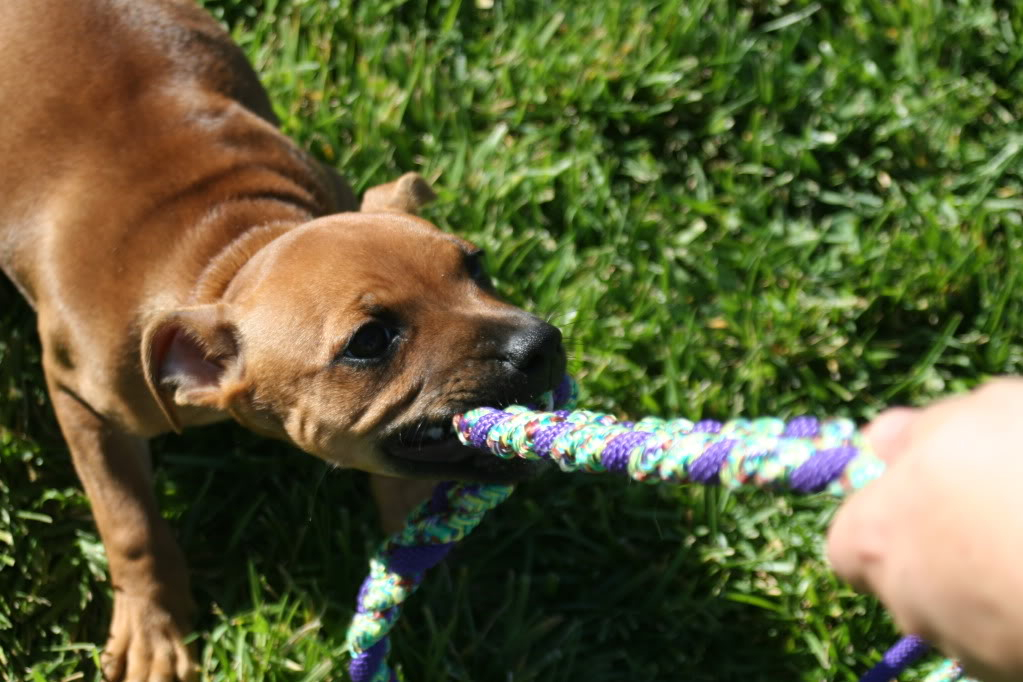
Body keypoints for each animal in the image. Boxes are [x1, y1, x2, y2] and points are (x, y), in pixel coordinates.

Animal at [0, 2, 564, 678]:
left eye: (476, 266)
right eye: (370, 340)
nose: (542, 344)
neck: (229, 250)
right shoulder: (83, 399)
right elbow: (129, 520)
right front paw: (154, 628)